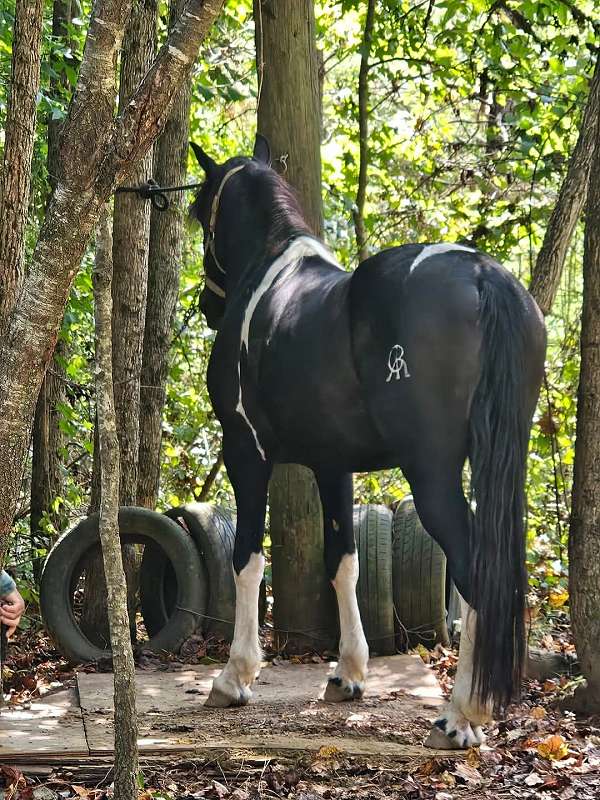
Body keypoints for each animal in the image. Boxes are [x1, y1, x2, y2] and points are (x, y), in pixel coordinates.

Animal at [190, 136, 548, 752]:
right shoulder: (333, 465)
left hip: (431, 475)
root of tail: (483, 276)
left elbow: (246, 560)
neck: (268, 276)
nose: (209, 307)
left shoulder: (246, 453)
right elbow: (344, 563)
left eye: (199, 214)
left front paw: (234, 677)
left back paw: (460, 716)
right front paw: (348, 675)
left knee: (477, 573)